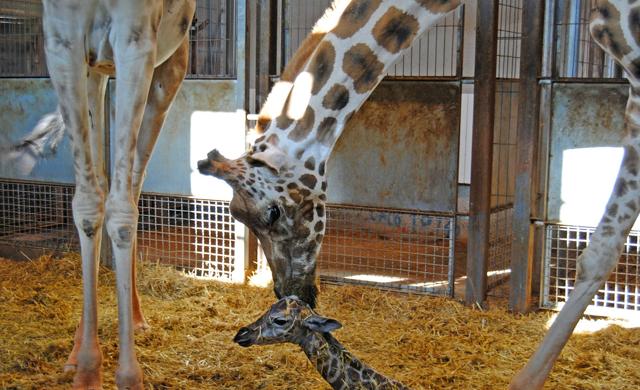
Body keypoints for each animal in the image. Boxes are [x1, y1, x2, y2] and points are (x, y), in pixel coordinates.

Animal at [40, 0, 195, 386]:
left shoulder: (135, 39)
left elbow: (123, 212)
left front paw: (127, 376)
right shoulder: (61, 41)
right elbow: (86, 205)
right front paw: (87, 369)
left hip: (169, 66)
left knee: (133, 187)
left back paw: (136, 318)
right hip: (95, 72)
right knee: (100, 183)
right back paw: (77, 348)